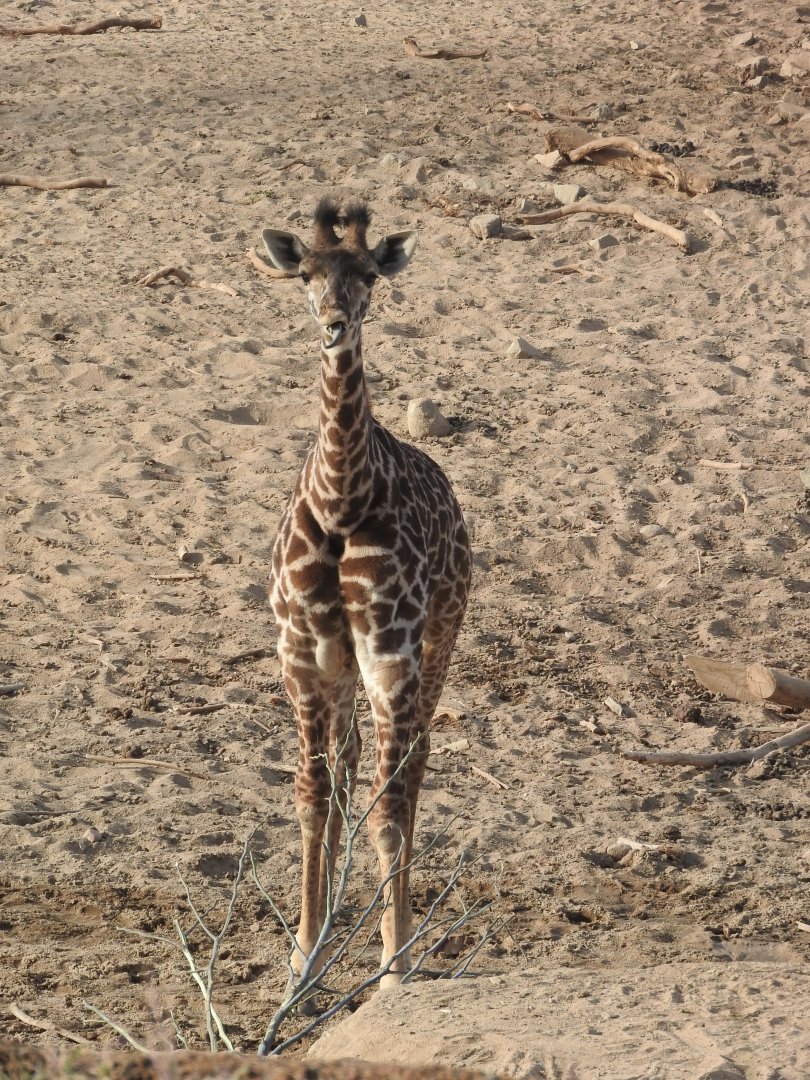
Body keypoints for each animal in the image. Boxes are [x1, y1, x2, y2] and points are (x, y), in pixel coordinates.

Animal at [262, 198, 471, 999]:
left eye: (370, 275)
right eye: (308, 274)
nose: (333, 321)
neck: (342, 498)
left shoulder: (390, 653)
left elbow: (387, 803)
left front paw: (393, 964)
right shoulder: (304, 657)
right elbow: (312, 794)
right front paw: (304, 956)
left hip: (438, 639)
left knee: (412, 766)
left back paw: (399, 935)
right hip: (348, 669)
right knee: (354, 766)